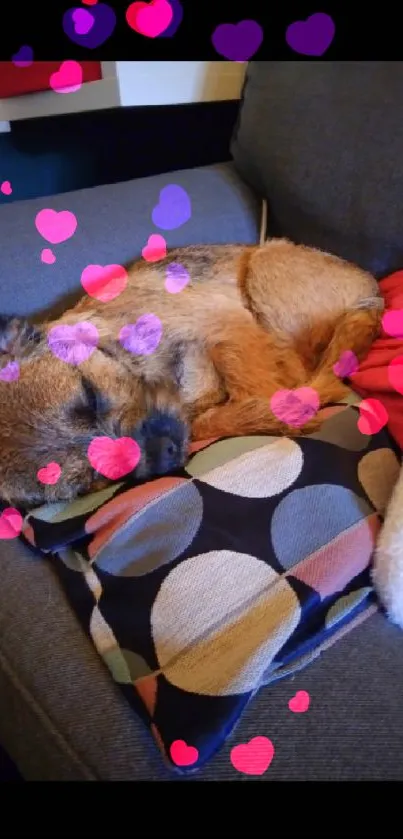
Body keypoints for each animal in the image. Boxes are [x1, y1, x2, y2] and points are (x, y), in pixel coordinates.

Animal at [0, 240, 384, 508]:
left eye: (90, 394)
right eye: (88, 480)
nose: (164, 451)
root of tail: (373, 291)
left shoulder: (228, 325)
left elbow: (254, 381)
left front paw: (279, 410)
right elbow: (208, 419)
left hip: (265, 264)